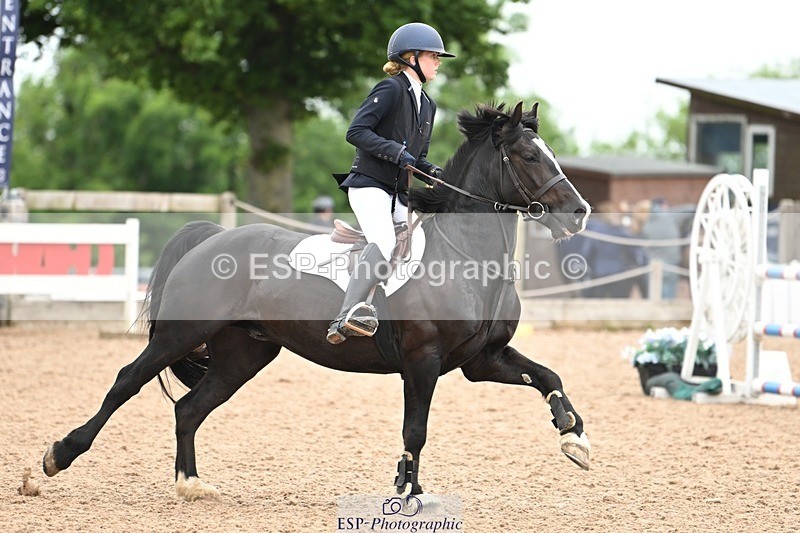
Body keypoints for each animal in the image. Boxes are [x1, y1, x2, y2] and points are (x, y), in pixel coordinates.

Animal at [42, 101, 592, 501]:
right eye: (529, 156)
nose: (580, 212)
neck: (468, 260)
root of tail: (213, 237)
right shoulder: (424, 360)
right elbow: (415, 430)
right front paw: (408, 492)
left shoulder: (482, 360)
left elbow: (549, 377)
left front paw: (574, 438)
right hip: (181, 334)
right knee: (126, 382)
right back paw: (58, 456)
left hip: (243, 354)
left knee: (190, 409)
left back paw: (191, 485)